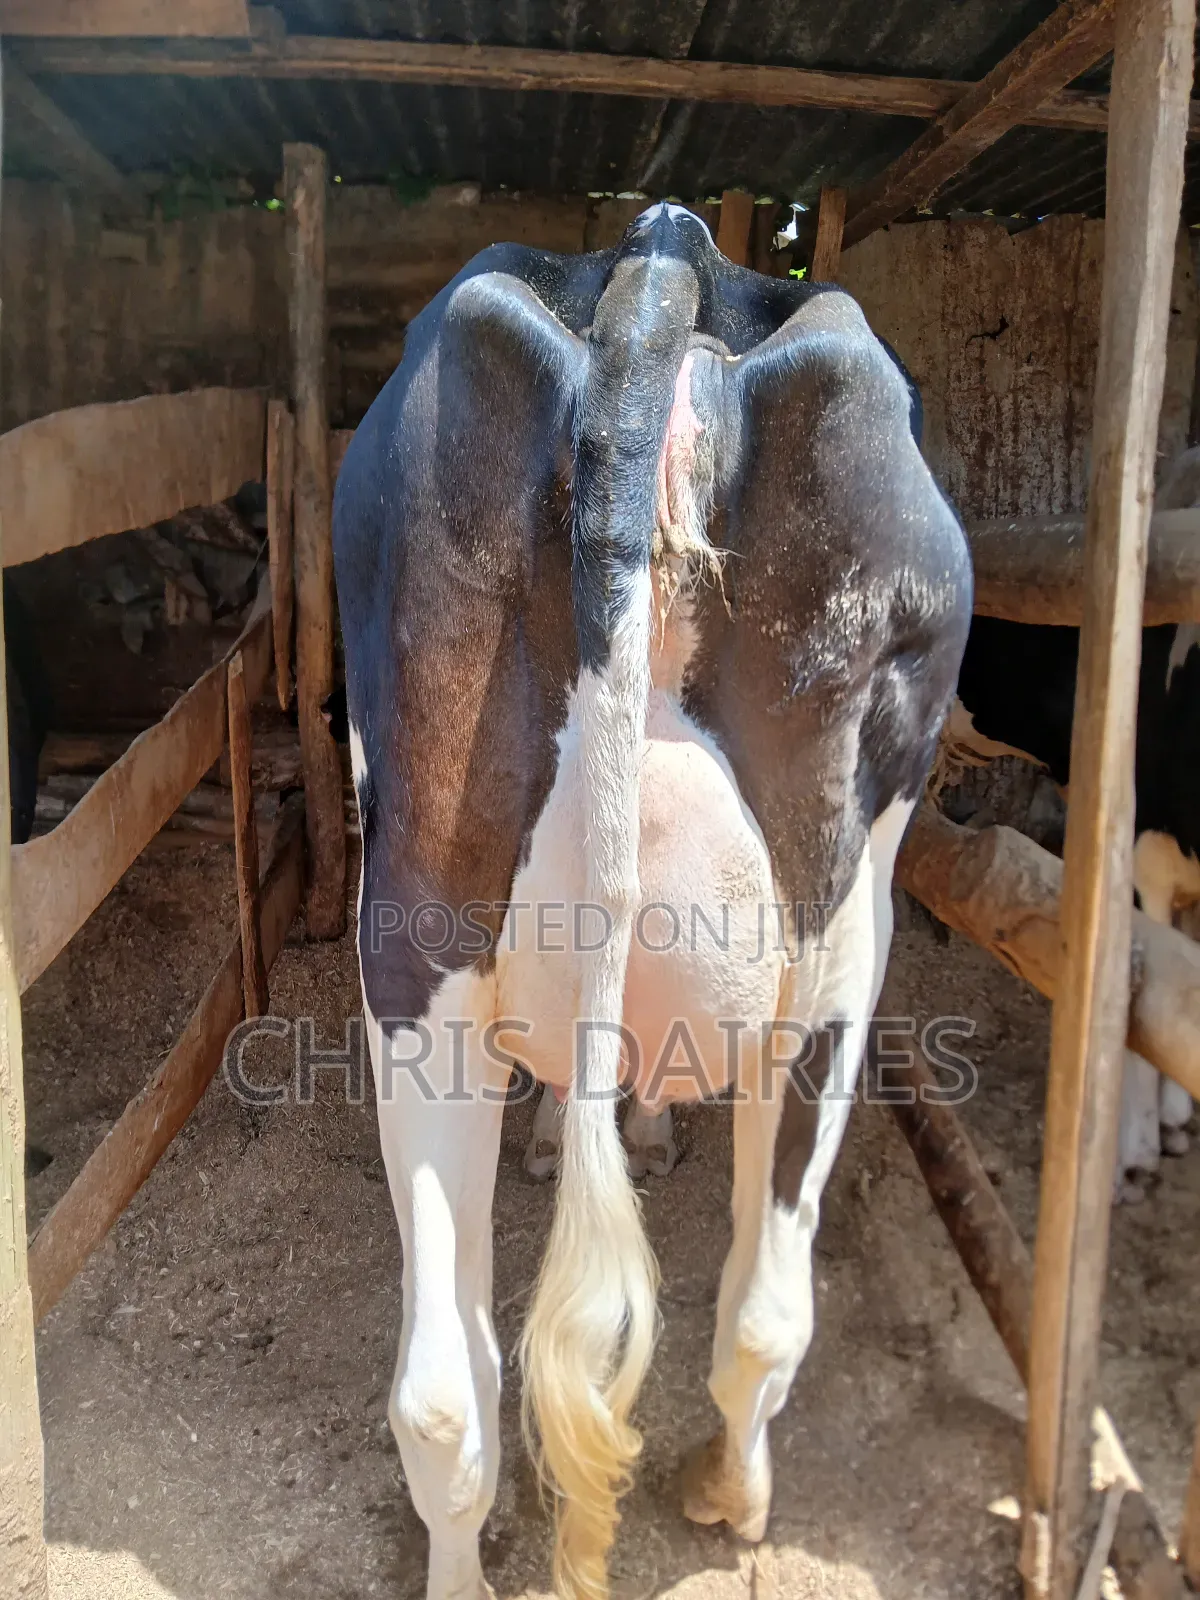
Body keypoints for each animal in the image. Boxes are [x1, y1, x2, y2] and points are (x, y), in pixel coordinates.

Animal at [333, 203, 971, 1600]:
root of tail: (661, 259)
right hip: (837, 942)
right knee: (761, 1310)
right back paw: (731, 1493)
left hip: (420, 931)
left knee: (446, 1387)